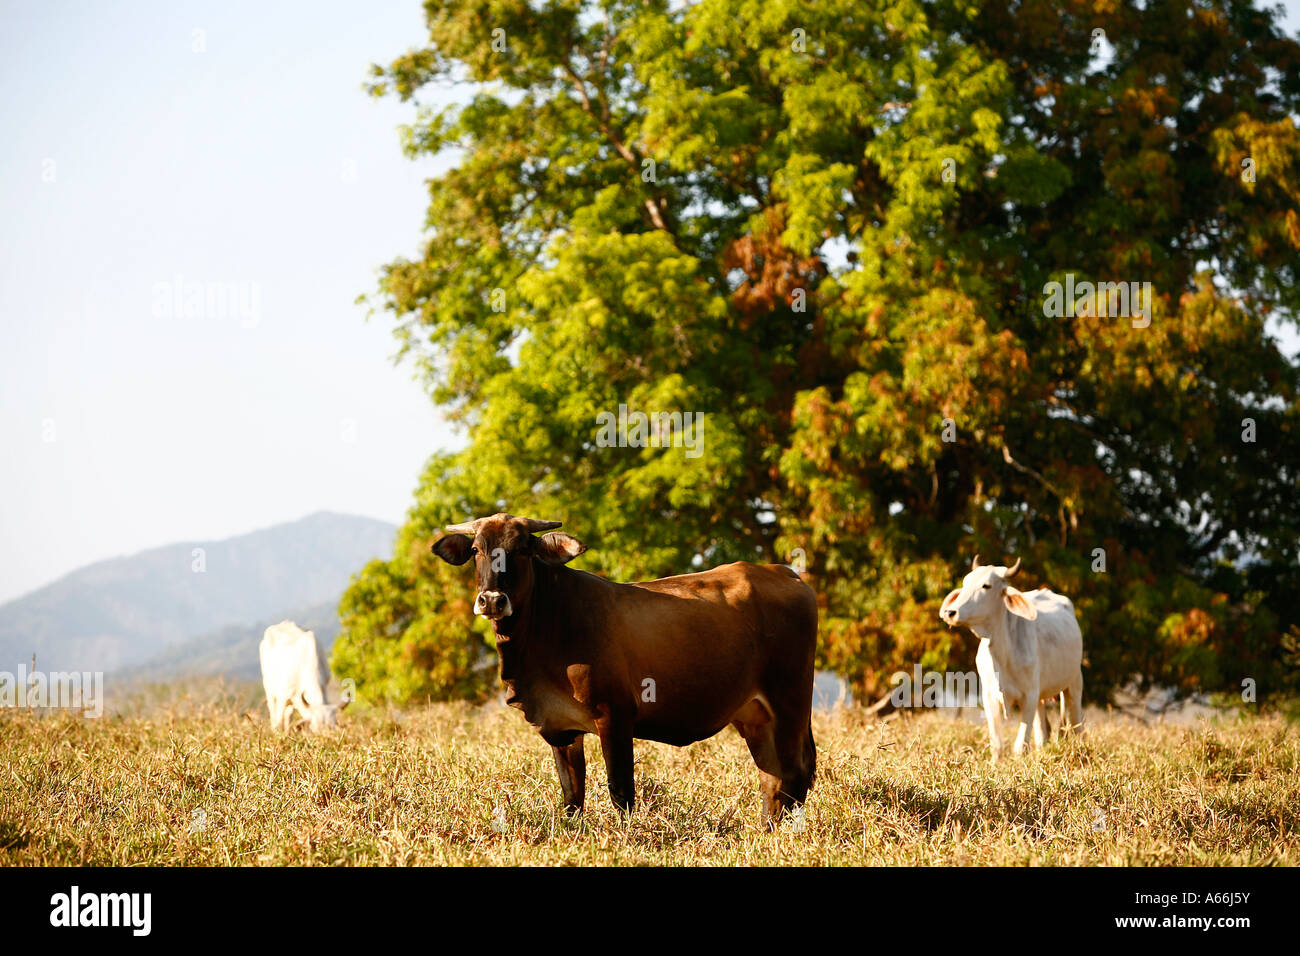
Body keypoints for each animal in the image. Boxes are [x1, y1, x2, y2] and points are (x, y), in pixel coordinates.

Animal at [430, 513, 818, 827]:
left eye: (524, 549)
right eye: (477, 550)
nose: (492, 600)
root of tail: (784, 573)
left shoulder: (614, 715)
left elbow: (621, 791)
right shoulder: (561, 727)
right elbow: (572, 797)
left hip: (790, 703)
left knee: (794, 775)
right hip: (756, 716)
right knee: (772, 779)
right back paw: (765, 830)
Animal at [939, 556, 1083, 760]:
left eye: (986, 586)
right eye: (965, 583)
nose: (950, 612)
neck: (1002, 654)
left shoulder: (1029, 696)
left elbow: (1020, 745)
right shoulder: (990, 697)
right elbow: (997, 743)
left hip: (1074, 682)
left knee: (1077, 724)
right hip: (1042, 696)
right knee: (1043, 732)